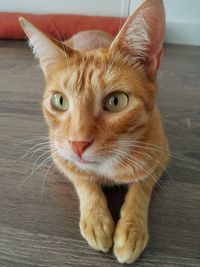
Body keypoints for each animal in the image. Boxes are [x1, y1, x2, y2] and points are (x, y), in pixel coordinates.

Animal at [19, 0, 169, 264]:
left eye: (116, 101)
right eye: (60, 101)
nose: (78, 144)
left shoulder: (160, 156)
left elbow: (140, 188)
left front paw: (132, 229)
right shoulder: (60, 155)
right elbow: (84, 182)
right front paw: (96, 220)